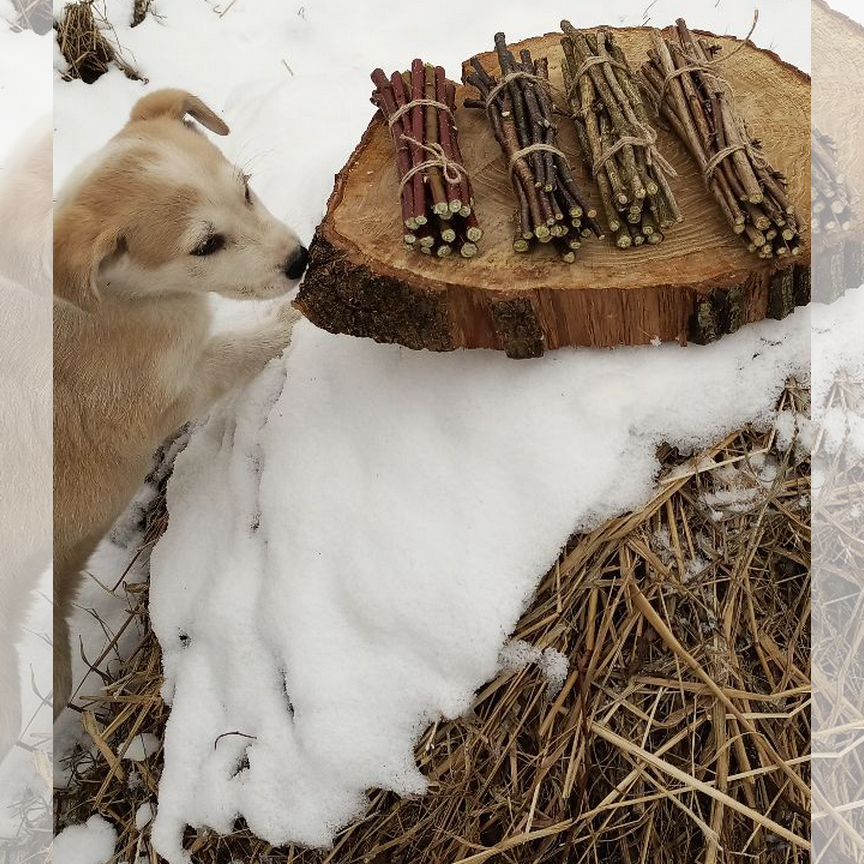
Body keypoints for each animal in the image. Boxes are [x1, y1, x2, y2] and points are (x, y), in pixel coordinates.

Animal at [51, 91, 308, 720]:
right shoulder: (174, 388)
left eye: (246, 189)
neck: (116, 297)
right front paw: (293, 320)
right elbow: (243, 349)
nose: (301, 260)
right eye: (206, 245)